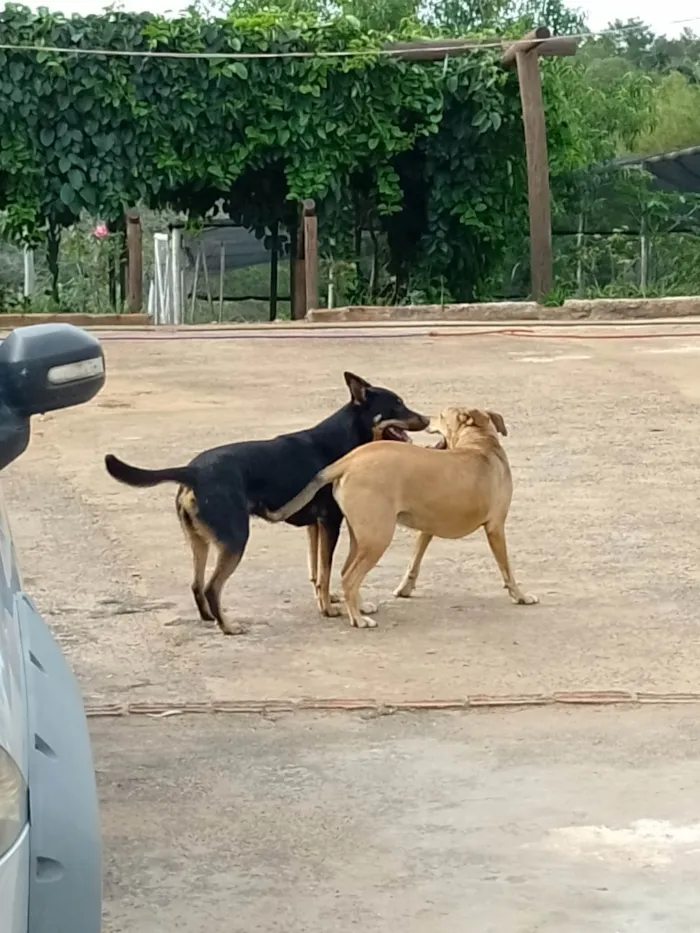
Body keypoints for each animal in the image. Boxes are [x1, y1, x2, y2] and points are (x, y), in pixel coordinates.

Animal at [104, 372, 426, 632]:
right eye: (397, 404)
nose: (425, 419)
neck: (344, 437)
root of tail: (191, 471)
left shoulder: (315, 527)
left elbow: (317, 571)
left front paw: (330, 599)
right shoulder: (330, 522)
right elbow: (325, 568)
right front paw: (329, 608)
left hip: (199, 541)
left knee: (196, 583)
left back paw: (210, 619)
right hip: (235, 539)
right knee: (211, 587)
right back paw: (228, 626)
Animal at [262, 406, 536, 628]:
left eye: (441, 415)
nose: (427, 418)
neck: (480, 444)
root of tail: (349, 460)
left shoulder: (427, 528)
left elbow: (414, 562)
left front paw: (405, 589)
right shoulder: (496, 527)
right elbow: (507, 569)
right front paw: (520, 595)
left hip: (362, 536)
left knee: (345, 572)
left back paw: (359, 607)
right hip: (378, 538)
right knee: (350, 577)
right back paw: (358, 619)